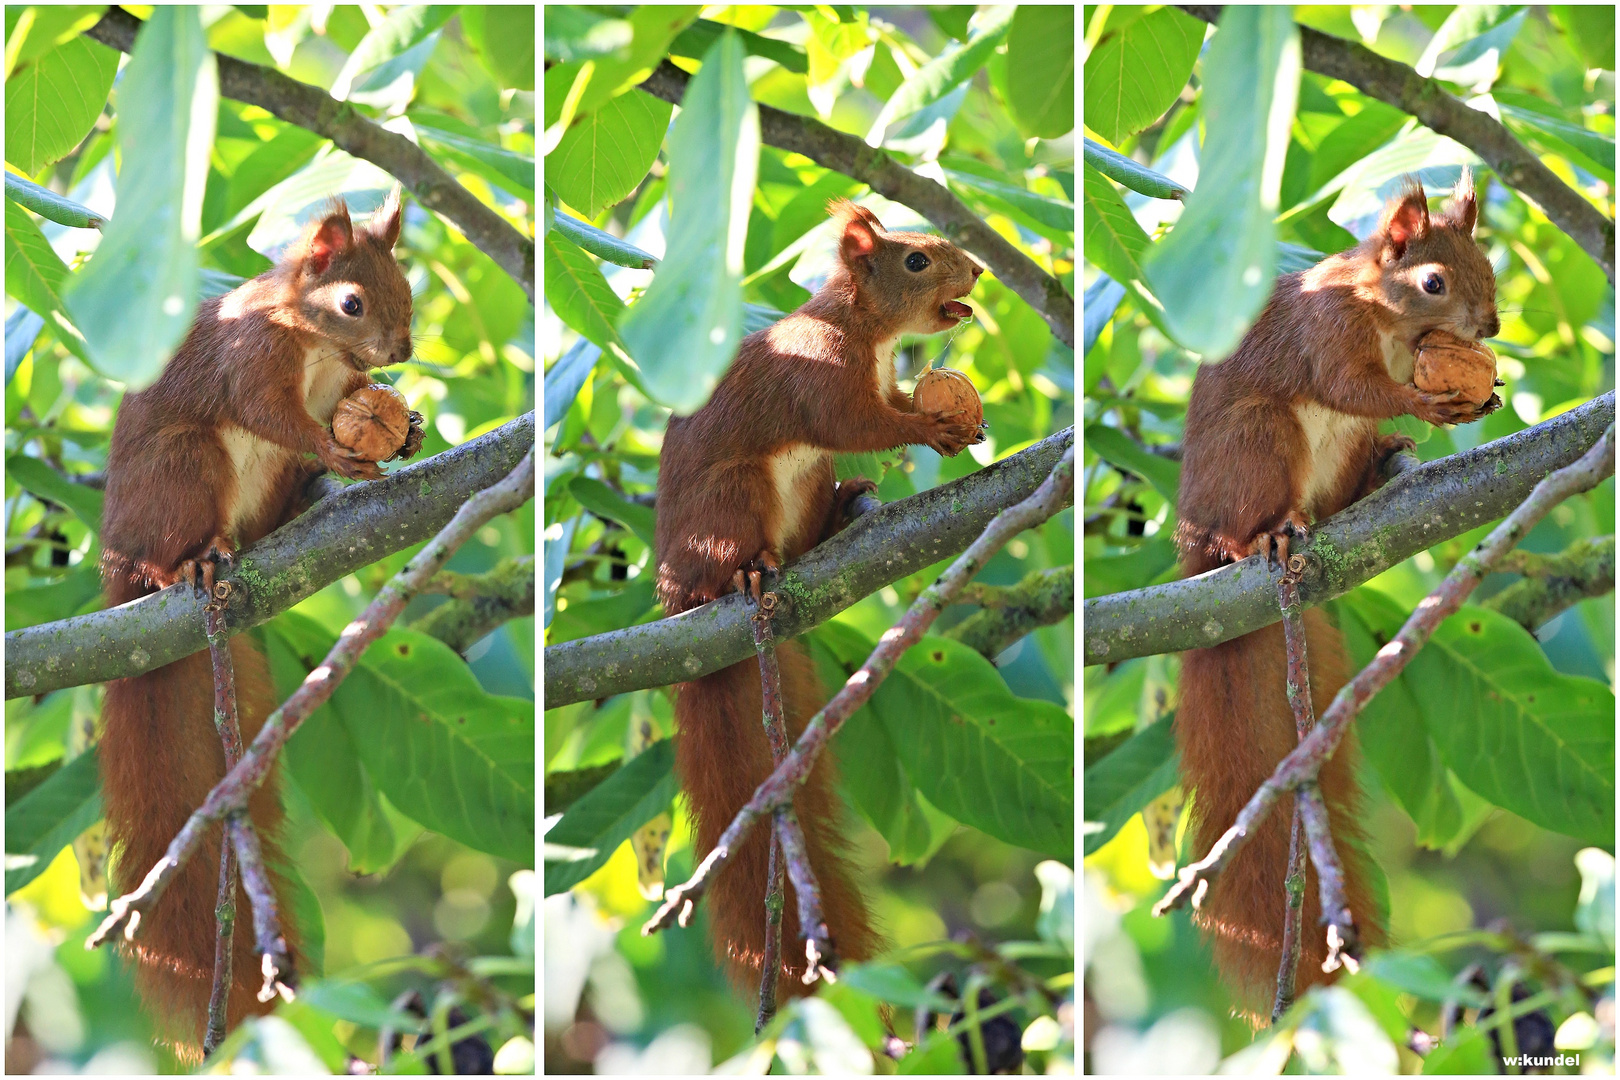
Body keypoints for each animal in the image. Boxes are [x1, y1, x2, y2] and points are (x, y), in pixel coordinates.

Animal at [98, 190, 421, 1049]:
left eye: (406, 286)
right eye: (351, 302)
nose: (403, 349)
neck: (313, 344)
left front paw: (405, 429)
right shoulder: (250, 364)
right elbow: (268, 413)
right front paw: (337, 450)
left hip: (254, 485)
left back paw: (300, 503)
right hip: (184, 470)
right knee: (175, 536)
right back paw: (186, 566)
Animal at [651, 198, 978, 990]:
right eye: (915, 260)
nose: (979, 272)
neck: (860, 328)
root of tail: (677, 601)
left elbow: (883, 405)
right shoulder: (821, 375)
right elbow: (857, 421)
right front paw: (932, 425)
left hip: (805, 483)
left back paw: (841, 512)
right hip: (732, 500)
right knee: (732, 553)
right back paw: (746, 573)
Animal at [1172, 170, 1496, 1016]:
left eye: (1487, 262)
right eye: (1433, 281)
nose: (1490, 324)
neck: (1389, 319)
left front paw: (1477, 398)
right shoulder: (1327, 336)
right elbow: (1350, 385)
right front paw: (1423, 402)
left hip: (1331, 455)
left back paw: (1378, 473)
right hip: (1260, 443)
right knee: (1251, 514)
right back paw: (1259, 541)